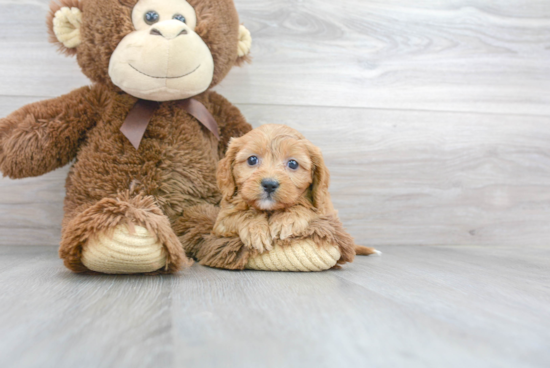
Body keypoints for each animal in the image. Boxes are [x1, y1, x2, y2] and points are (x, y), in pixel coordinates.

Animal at [201, 123, 382, 270]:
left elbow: (303, 208)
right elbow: (242, 214)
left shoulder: (323, 212)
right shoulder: (222, 221)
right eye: (252, 160)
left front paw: (285, 221)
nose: (269, 184)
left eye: (293, 163)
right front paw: (256, 231)